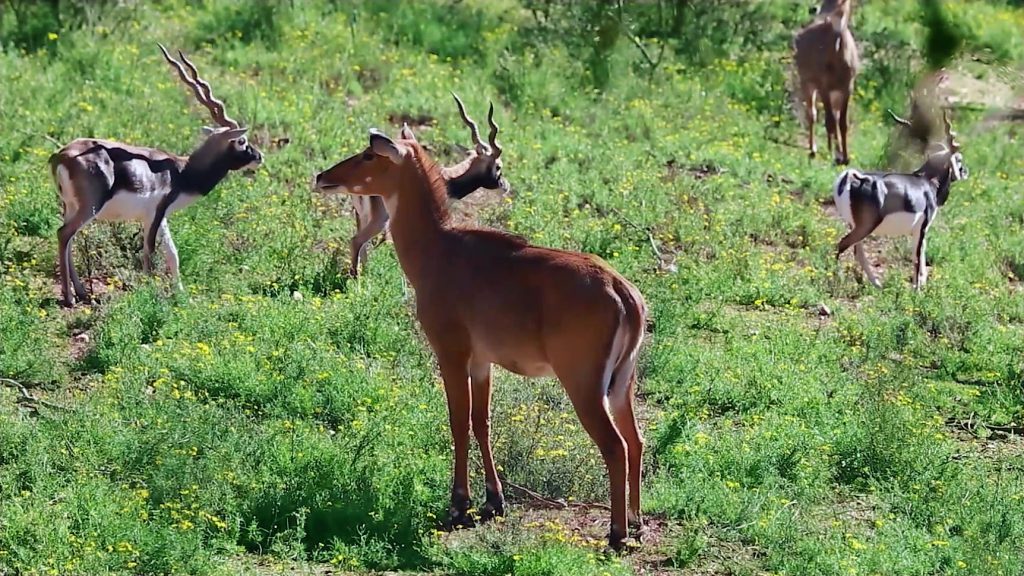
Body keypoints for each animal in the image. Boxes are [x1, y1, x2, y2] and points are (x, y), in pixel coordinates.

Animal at [49, 43, 262, 305]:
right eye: (242, 141)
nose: (259, 157)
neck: (182, 172)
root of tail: (61, 155)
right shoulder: (155, 214)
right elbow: (149, 254)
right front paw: (149, 293)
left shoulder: (159, 217)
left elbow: (172, 254)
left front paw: (182, 296)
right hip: (89, 207)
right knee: (63, 234)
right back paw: (69, 298)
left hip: (69, 206)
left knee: (67, 238)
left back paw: (81, 292)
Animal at [313, 127, 647, 549]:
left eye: (369, 155)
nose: (322, 176)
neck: (440, 249)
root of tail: (624, 292)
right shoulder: (482, 361)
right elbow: (482, 421)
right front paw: (493, 500)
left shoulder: (450, 352)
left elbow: (457, 420)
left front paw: (459, 505)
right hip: (622, 384)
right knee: (636, 440)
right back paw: (637, 523)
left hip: (584, 384)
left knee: (616, 446)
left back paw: (617, 533)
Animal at [344, 91, 507, 276]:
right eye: (498, 166)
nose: (505, 186)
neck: (447, 178)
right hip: (379, 220)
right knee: (357, 241)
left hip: (362, 217)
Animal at [794, 0, 860, 163]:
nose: (813, 9)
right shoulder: (823, 85)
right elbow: (829, 121)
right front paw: (836, 156)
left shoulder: (848, 87)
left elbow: (843, 123)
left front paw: (845, 156)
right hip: (806, 80)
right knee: (812, 113)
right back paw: (813, 148)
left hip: (833, 92)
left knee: (834, 117)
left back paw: (832, 147)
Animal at [831, 110, 966, 289]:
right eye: (958, 159)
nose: (965, 172)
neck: (928, 182)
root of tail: (852, 178)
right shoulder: (922, 228)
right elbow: (917, 257)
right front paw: (917, 289)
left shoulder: (920, 231)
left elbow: (922, 253)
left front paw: (922, 283)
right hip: (865, 226)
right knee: (842, 245)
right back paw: (835, 281)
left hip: (855, 225)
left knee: (857, 250)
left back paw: (873, 283)